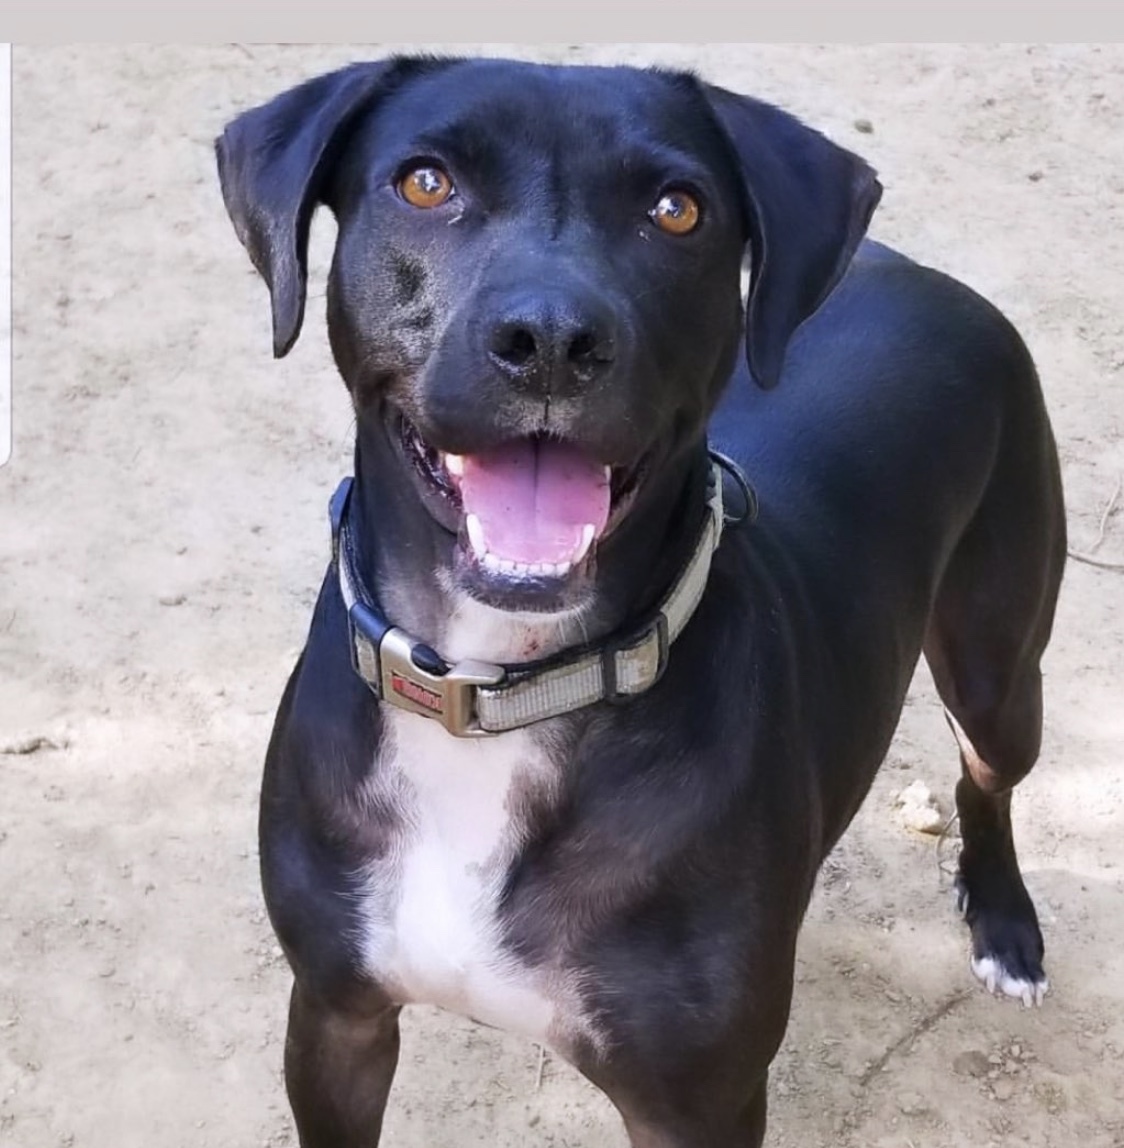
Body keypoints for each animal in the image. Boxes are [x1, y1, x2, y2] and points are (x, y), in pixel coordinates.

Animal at [215, 55, 1070, 1148]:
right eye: (424, 184)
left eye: (676, 209)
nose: (548, 340)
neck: (500, 692)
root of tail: (923, 274)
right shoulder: (336, 1014)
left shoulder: (694, 1100)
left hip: (999, 664)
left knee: (986, 776)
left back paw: (1002, 922)